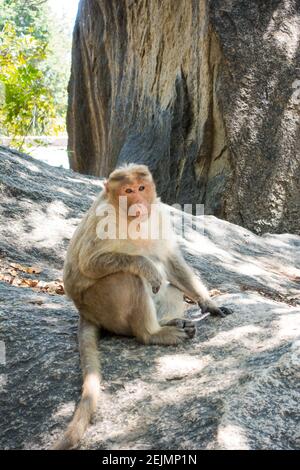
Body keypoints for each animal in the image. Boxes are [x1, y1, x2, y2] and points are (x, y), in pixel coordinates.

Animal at [53, 163, 232, 450]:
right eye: (127, 191)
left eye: (141, 187)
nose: (139, 202)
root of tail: (84, 312)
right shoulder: (103, 218)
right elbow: (89, 263)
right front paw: (146, 266)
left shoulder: (158, 215)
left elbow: (170, 259)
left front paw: (209, 303)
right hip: (102, 305)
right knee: (130, 279)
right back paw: (153, 333)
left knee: (172, 288)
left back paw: (169, 323)